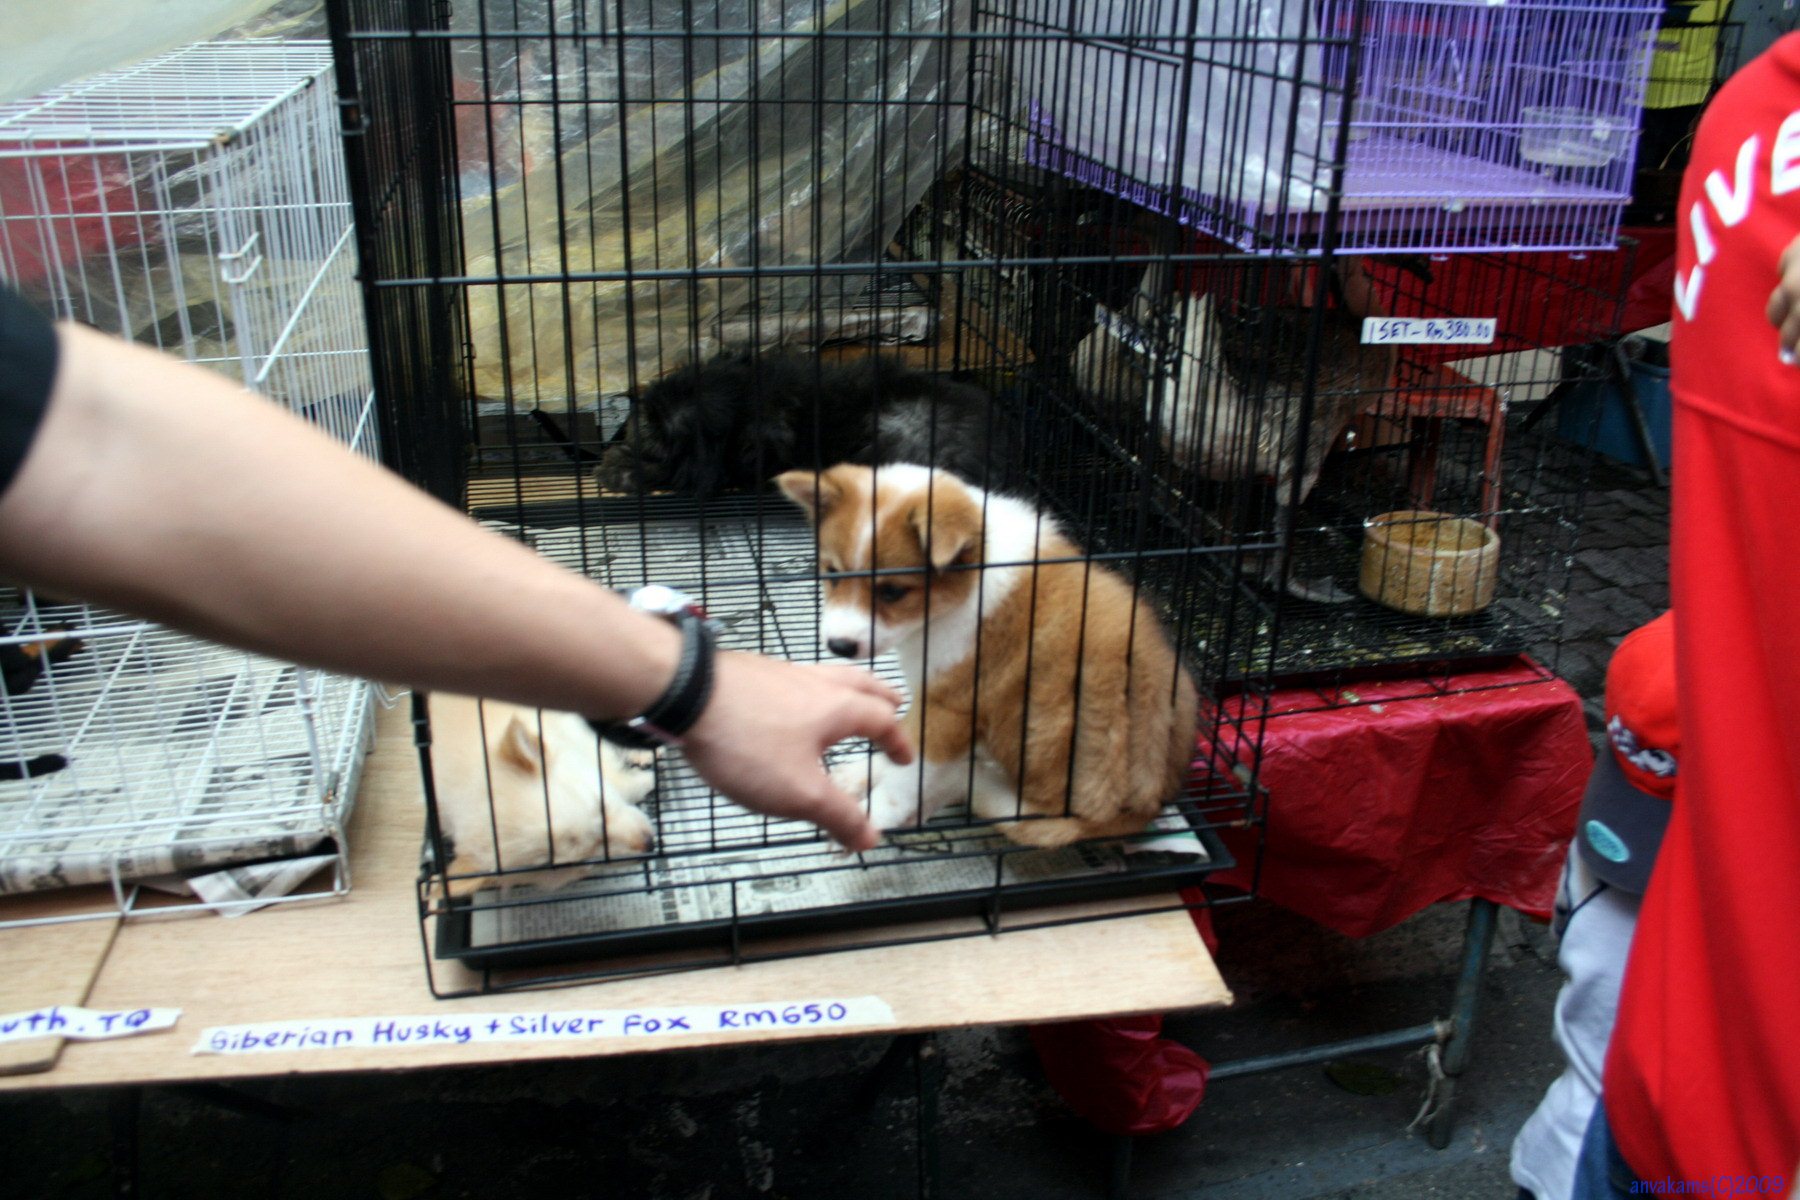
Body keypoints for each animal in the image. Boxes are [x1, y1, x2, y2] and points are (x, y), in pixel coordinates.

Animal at [777, 463, 1198, 847]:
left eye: (893, 591)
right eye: (832, 573)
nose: (839, 646)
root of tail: (1147, 805)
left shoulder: (953, 706)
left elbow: (909, 773)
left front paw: (871, 817)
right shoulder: (934, 696)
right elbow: (904, 745)